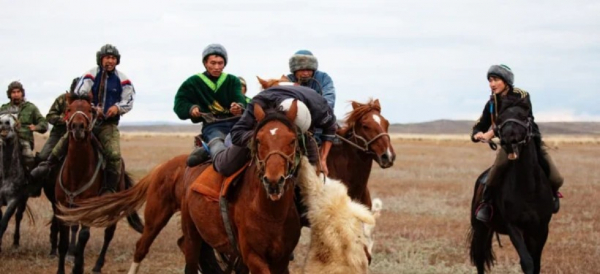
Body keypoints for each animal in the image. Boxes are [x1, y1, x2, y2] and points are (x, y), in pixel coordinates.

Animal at [54, 92, 142, 274]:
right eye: (69, 109)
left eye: (89, 109)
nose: (78, 127)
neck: (76, 173)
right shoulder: (62, 207)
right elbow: (64, 242)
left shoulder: (87, 209)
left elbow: (83, 237)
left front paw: (78, 267)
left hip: (113, 207)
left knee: (109, 233)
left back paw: (97, 265)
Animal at [179, 101, 302, 274]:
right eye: (258, 140)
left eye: (292, 140)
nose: (273, 182)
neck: (271, 214)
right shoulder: (253, 257)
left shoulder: (281, 260)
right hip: (192, 236)